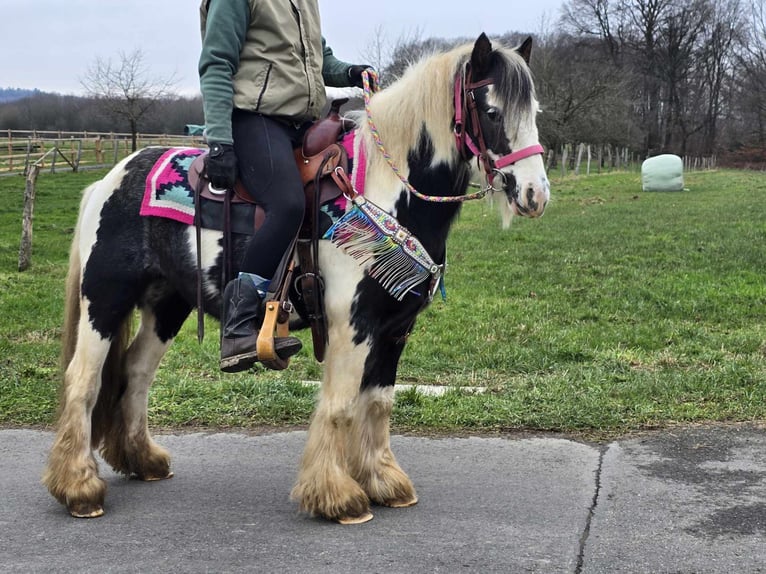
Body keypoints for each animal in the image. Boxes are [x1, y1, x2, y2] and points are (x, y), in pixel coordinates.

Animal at [43, 32, 552, 528]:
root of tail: (111, 179)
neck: (383, 194)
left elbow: (379, 403)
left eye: (534, 112)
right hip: (104, 300)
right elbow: (342, 404)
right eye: (491, 111)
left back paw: (142, 460)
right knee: (83, 379)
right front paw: (336, 496)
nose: (535, 194)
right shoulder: (353, 325)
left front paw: (384, 481)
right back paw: (79, 488)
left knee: (136, 371)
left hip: (167, 304)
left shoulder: (396, 327)